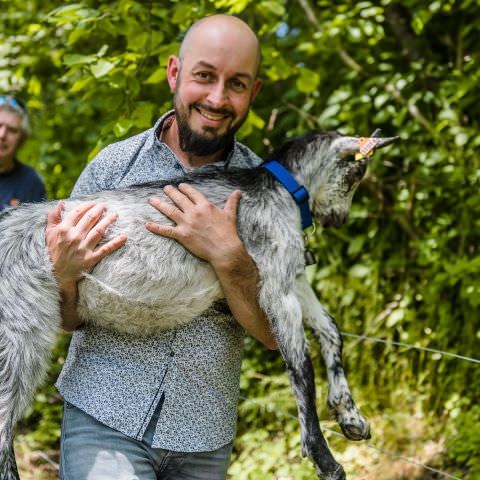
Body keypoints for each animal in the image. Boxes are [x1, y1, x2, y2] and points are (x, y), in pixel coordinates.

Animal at [0, 129, 398, 478]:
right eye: (357, 173)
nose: (339, 219)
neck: (281, 188)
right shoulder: (276, 288)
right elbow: (302, 370)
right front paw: (324, 459)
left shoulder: (291, 276)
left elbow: (331, 330)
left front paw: (350, 416)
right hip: (19, 331)